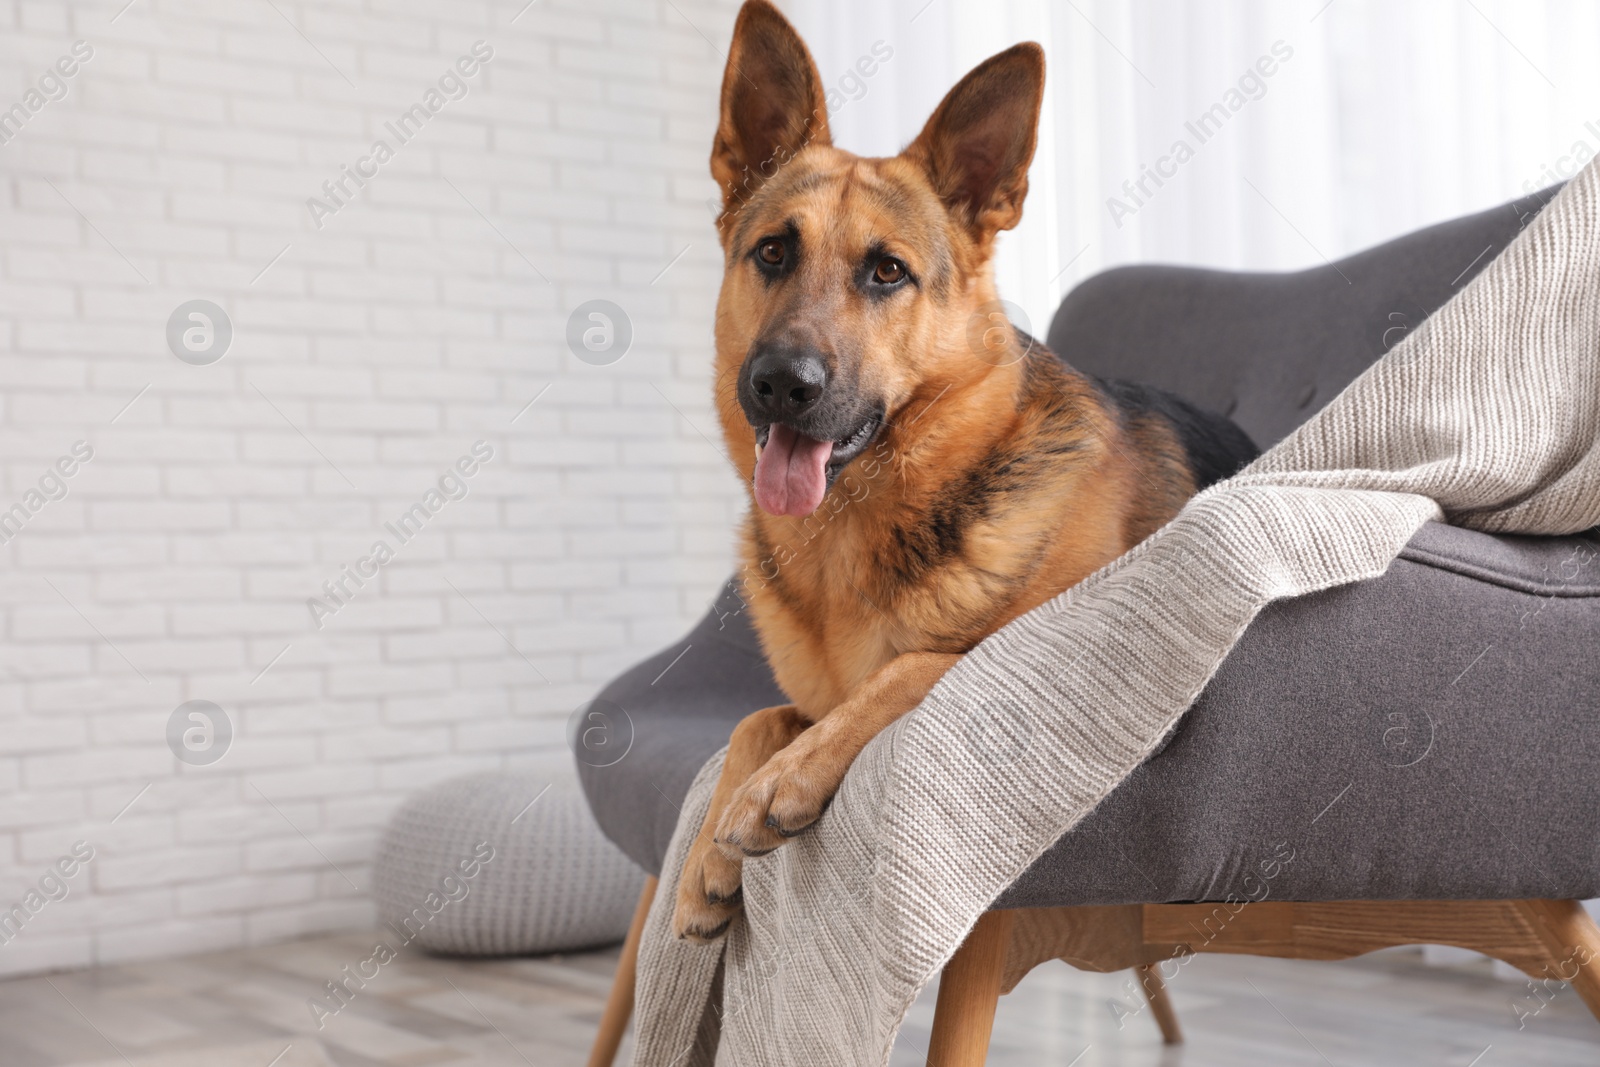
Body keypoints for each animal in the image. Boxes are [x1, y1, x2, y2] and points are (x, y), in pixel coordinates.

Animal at [668, 0, 1254, 940]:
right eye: (772, 253)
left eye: (887, 271)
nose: (782, 384)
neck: (852, 536)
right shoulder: (803, 697)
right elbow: (758, 717)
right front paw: (705, 859)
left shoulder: (1033, 653)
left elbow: (916, 665)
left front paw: (776, 784)